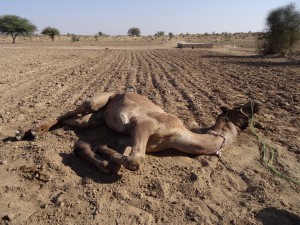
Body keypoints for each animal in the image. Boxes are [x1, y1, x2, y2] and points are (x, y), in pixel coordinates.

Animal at [15, 91, 260, 174]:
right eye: (240, 108)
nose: (257, 104)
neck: (177, 136)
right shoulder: (143, 124)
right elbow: (136, 161)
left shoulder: (124, 138)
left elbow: (117, 159)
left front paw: (93, 151)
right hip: (97, 100)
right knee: (67, 111)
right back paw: (28, 132)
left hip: (95, 120)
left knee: (73, 121)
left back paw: (34, 132)